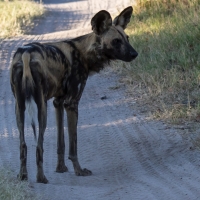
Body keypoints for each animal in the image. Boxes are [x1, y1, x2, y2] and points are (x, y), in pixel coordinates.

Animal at [9, 6, 138, 184]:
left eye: (127, 38)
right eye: (116, 41)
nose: (134, 54)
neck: (84, 52)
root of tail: (26, 53)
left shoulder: (58, 103)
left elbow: (61, 142)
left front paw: (61, 168)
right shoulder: (71, 103)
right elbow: (73, 144)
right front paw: (79, 170)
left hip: (20, 108)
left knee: (23, 145)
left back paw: (23, 176)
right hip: (41, 109)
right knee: (39, 146)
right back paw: (41, 178)